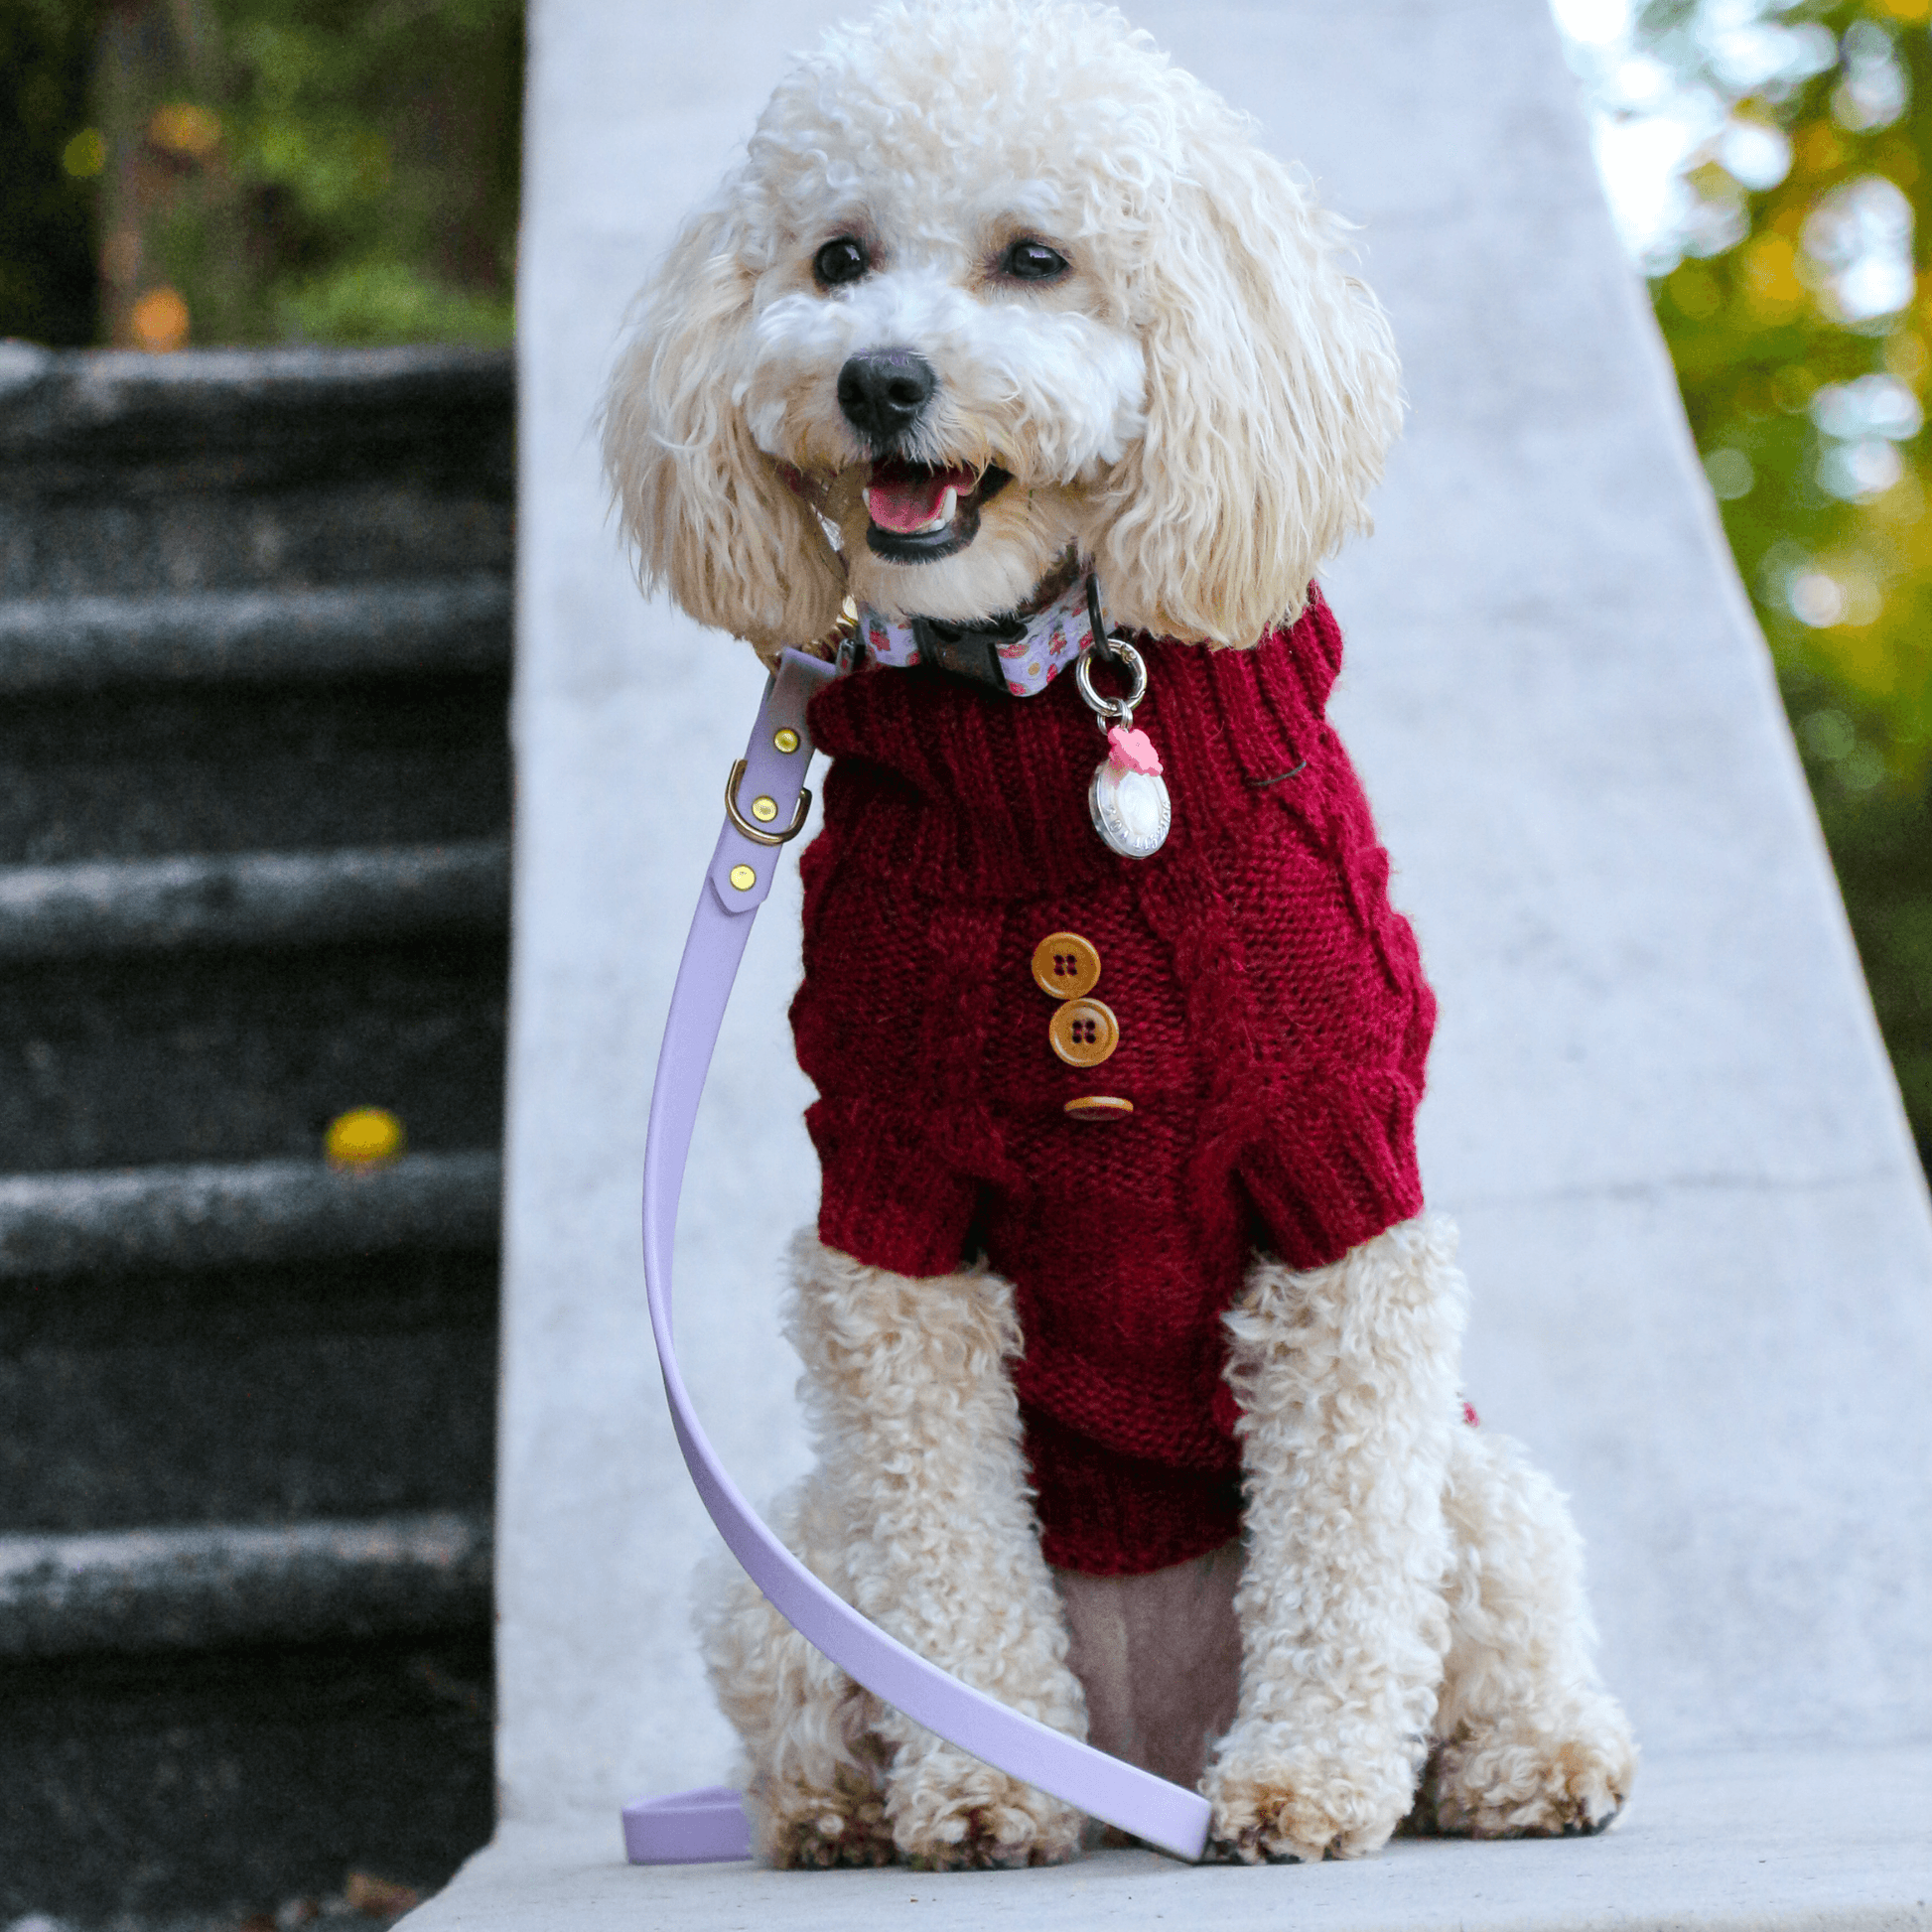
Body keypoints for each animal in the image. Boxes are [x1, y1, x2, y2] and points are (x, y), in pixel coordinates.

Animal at [599, 0, 1630, 1869]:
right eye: (836, 259)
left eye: (1035, 258)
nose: (878, 378)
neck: (1041, 713)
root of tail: (1149, 1739)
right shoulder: (893, 1201)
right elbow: (946, 1546)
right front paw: (983, 1782)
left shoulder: (1338, 1173)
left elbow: (1346, 1553)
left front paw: (1310, 1778)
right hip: (798, 1549)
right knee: (810, 1676)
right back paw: (845, 1812)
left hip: (1483, 1482)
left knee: (1485, 1606)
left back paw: (1528, 1765)